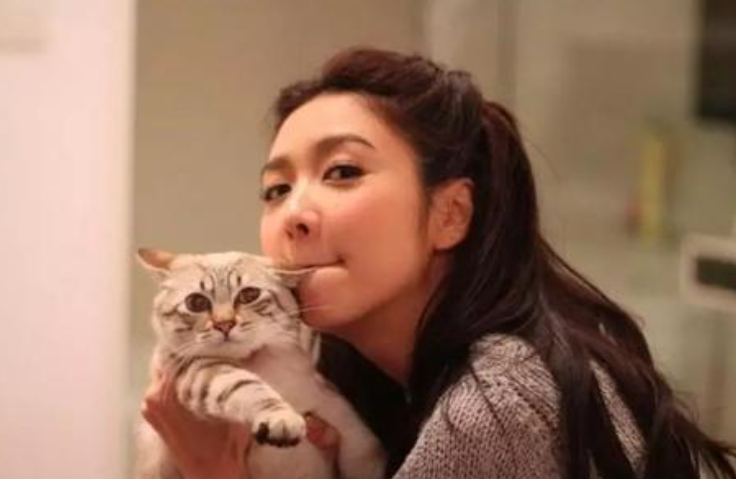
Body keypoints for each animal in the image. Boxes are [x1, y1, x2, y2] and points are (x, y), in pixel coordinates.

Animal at [134, 249, 386, 479]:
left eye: (249, 294)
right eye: (196, 302)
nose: (224, 324)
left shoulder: (341, 417)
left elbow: (364, 452)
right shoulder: (198, 368)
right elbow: (245, 386)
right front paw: (280, 418)